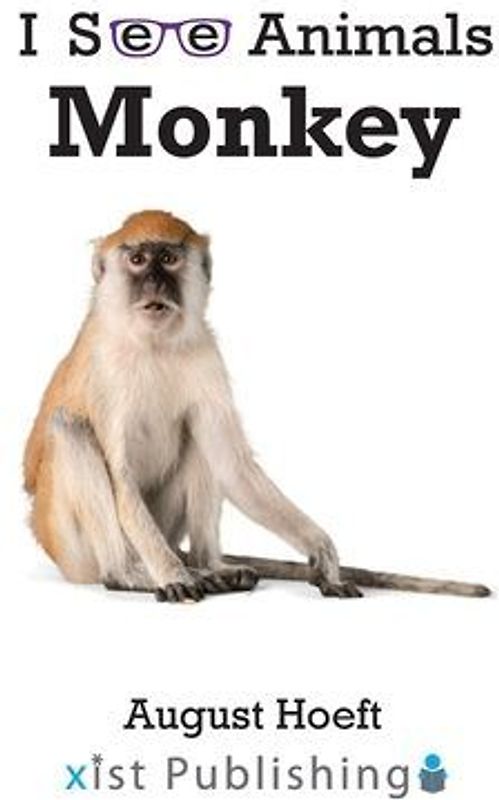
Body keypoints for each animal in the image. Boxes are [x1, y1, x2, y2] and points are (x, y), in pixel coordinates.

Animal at [23, 210, 490, 602]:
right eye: (137, 259)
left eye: (169, 258)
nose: (155, 283)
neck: (153, 342)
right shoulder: (106, 369)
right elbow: (120, 477)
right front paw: (172, 576)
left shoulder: (206, 354)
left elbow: (232, 465)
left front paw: (322, 552)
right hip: (73, 546)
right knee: (70, 427)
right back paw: (130, 574)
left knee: (201, 441)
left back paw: (211, 566)